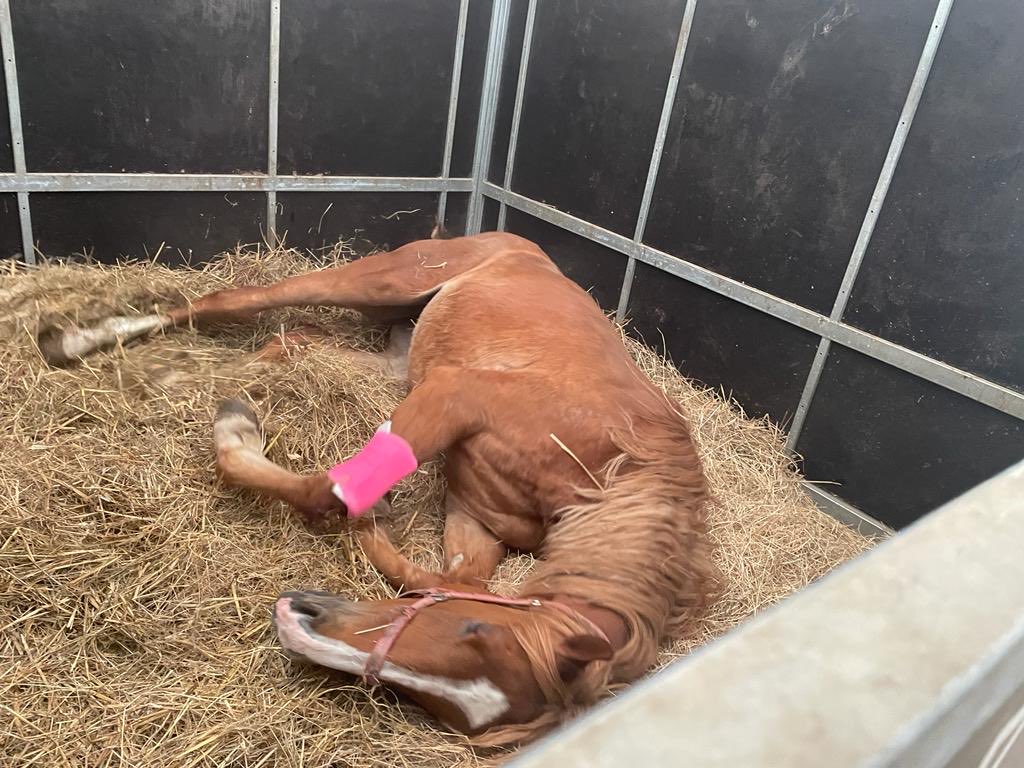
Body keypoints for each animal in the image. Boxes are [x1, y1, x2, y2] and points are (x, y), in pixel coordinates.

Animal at [40, 231, 718, 744]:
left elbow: (445, 573)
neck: (606, 473)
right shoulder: (452, 397)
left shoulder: (475, 519)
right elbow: (328, 493)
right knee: (234, 300)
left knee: (293, 340)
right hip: (382, 281)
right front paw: (243, 436)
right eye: (475, 632)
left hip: (396, 354)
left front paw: (373, 523)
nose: (301, 621)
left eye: (437, 706)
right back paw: (77, 342)